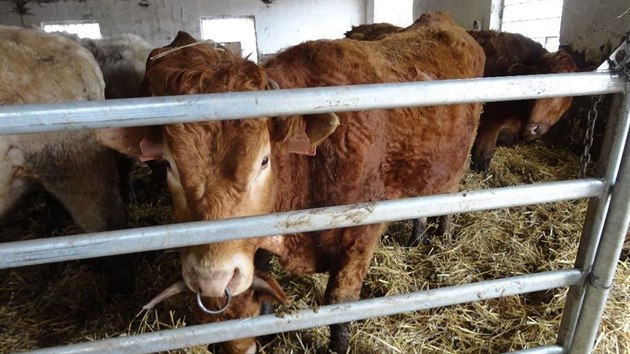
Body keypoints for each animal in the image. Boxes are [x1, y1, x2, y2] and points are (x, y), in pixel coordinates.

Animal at [99, 11, 486, 354]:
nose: (212, 277)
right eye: (168, 165)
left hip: (455, 165)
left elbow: (340, 303)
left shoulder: (359, 236)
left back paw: (439, 233)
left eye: (264, 160)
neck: (312, 168)